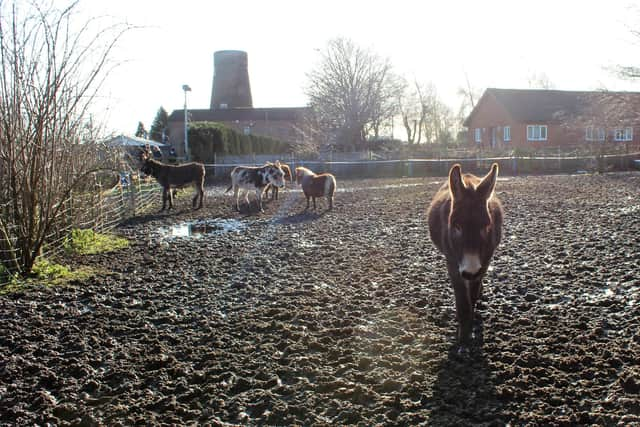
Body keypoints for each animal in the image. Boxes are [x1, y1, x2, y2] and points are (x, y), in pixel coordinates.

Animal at [428, 163, 502, 348]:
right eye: (457, 227)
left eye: (486, 226)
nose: (470, 271)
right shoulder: (452, 263)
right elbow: (462, 301)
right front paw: (463, 336)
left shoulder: (485, 261)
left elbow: (472, 295)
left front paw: (469, 326)